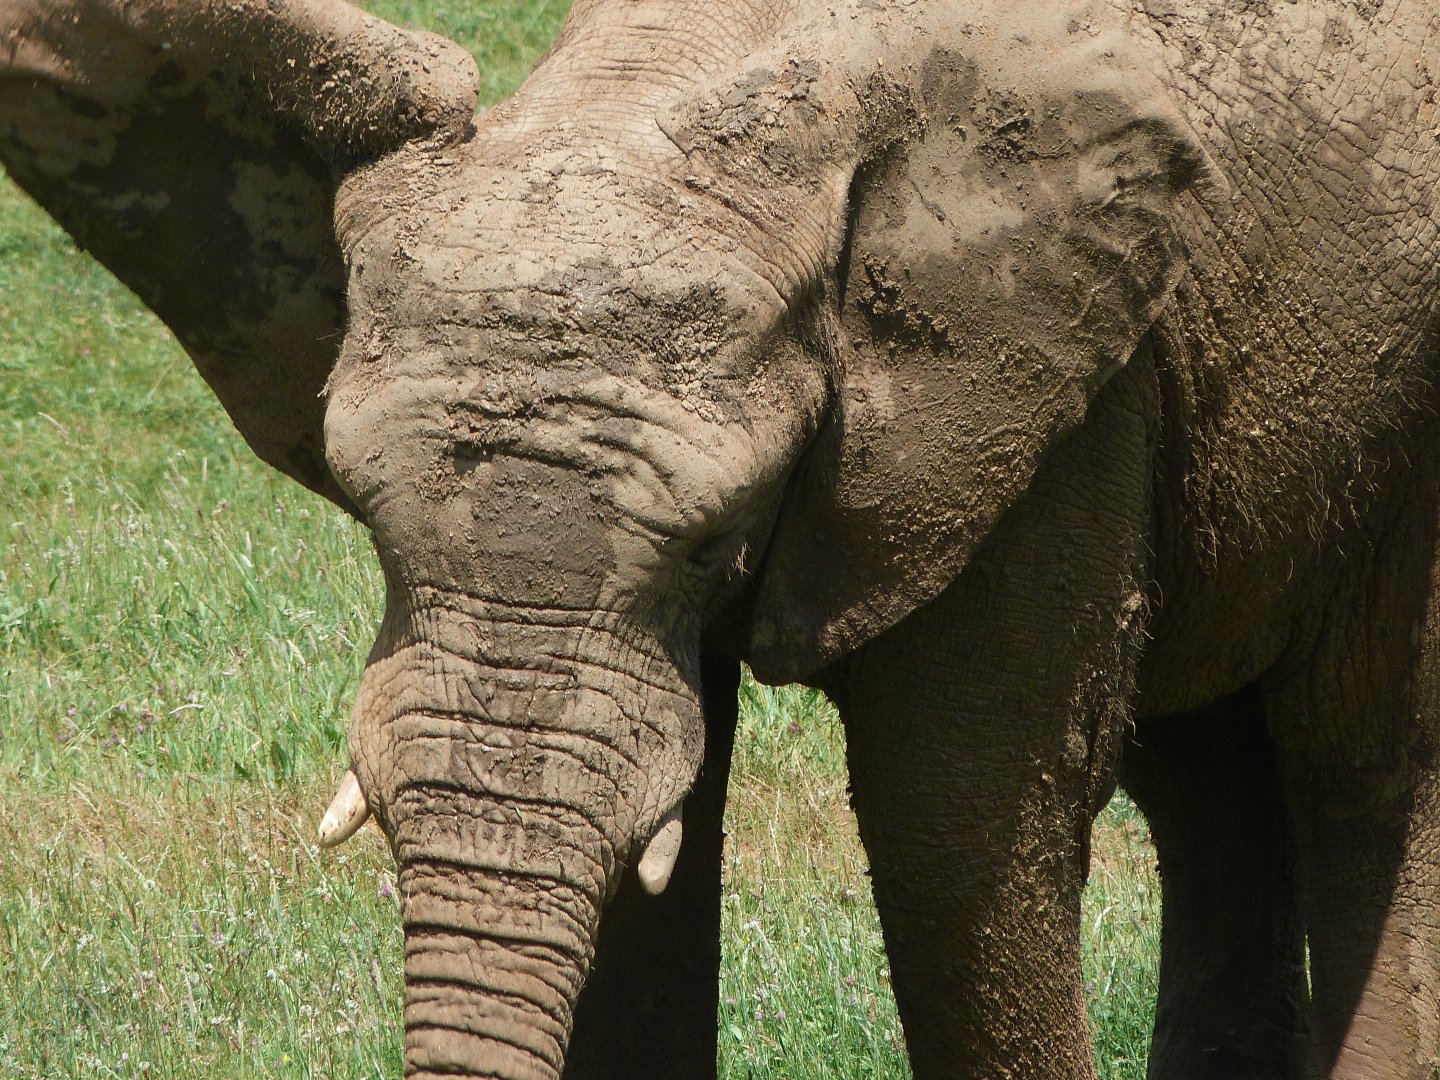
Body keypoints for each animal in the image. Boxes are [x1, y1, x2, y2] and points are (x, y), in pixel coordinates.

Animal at [2, 0, 1438, 1076]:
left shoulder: (1063, 400)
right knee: (1206, 784)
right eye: (365, 515)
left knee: (1362, 764)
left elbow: (953, 823)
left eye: (715, 538)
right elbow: (652, 871)